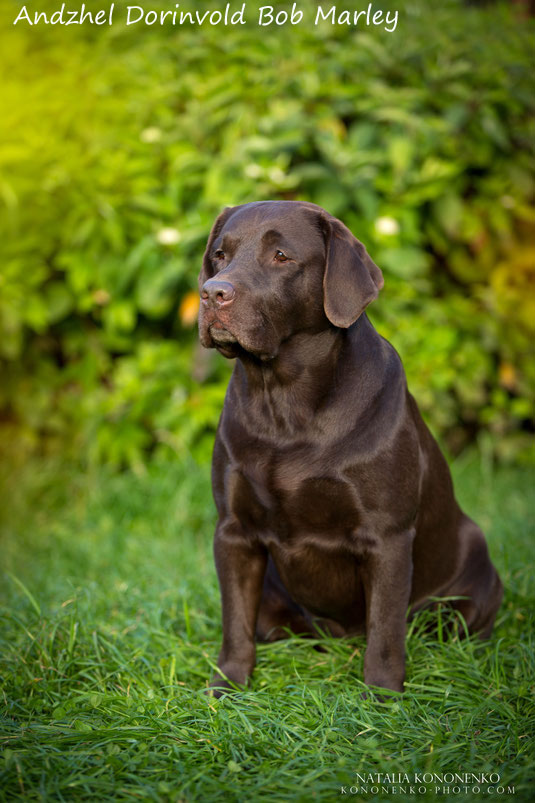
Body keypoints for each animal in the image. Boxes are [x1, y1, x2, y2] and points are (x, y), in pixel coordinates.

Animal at [199, 201, 504, 696]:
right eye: (219, 256)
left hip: (469, 589)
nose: (212, 293)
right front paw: (226, 686)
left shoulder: (386, 536)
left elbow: (384, 629)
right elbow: (235, 622)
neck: (284, 404)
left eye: (281, 255)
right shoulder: (234, 531)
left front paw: (382, 697)